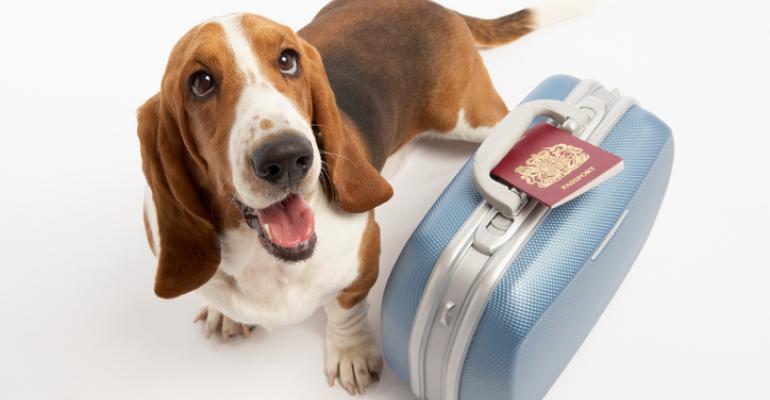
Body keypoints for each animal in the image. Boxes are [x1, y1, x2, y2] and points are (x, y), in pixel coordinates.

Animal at [138, 0, 584, 394]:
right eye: (200, 83)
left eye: (287, 60)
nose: (286, 157)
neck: (270, 259)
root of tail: (438, 7)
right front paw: (223, 313)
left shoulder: (364, 257)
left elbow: (345, 308)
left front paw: (350, 354)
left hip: (470, 118)